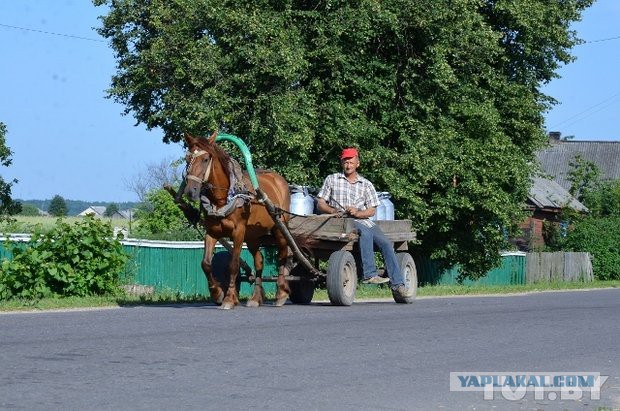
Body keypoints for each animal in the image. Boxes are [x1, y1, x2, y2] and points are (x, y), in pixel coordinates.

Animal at [167, 131, 294, 308]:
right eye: (187, 158)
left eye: (205, 159)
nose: (191, 191)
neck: (223, 199)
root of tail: (278, 179)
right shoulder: (212, 232)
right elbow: (206, 264)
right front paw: (218, 292)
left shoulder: (239, 232)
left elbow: (233, 265)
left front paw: (229, 298)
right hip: (253, 236)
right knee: (259, 261)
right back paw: (255, 298)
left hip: (279, 227)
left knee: (283, 256)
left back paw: (281, 293)